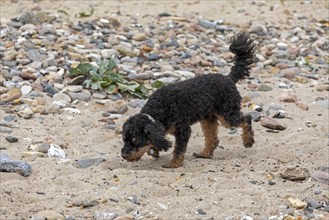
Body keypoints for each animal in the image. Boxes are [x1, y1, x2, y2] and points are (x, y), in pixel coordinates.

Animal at [121, 31, 256, 168]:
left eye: (135, 140)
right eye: (124, 139)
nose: (124, 155)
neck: (158, 111)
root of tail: (229, 78)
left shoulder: (183, 130)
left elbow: (178, 149)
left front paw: (173, 164)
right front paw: (154, 151)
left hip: (227, 115)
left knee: (246, 119)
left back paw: (248, 141)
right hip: (208, 119)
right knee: (213, 138)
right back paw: (205, 153)